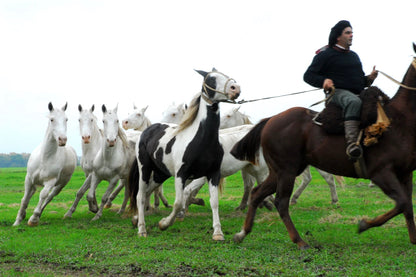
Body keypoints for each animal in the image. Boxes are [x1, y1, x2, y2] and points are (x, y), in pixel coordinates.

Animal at [127, 68, 240, 238]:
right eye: (211, 79)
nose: (235, 89)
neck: (202, 141)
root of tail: (147, 130)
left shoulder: (213, 173)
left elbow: (214, 202)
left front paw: (218, 232)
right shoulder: (181, 175)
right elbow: (178, 203)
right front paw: (164, 224)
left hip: (161, 173)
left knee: (148, 191)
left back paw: (135, 220)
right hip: (145, 169)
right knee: (140, 195)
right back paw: (142, 229)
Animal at [232, 43, 416, 248]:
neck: (398, 121)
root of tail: (270, 120)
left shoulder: (405, 174)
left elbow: (407, 205)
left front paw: (413, 239)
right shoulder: (381, 173)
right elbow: (402, 203)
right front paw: (364, 225)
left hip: (281, 171)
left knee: (257, 194)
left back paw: (242, 233)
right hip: (287, 171)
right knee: (281, 202)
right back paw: (299, 241)